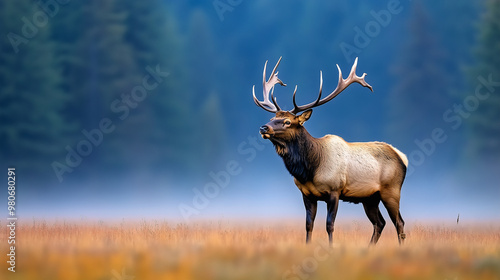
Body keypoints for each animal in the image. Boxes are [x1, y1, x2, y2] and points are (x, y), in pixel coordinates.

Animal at [252, 57, 408, 245]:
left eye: (287, 122)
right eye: (272, 118)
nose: (263, 127)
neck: (309, 169)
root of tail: (402, 157)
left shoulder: (334, 190)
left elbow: (329, 225)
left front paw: (331, 248)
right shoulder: (307, 194)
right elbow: (308, 225)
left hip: (391, 190)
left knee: (399, 222)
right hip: (370, 198)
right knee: (380, 223)